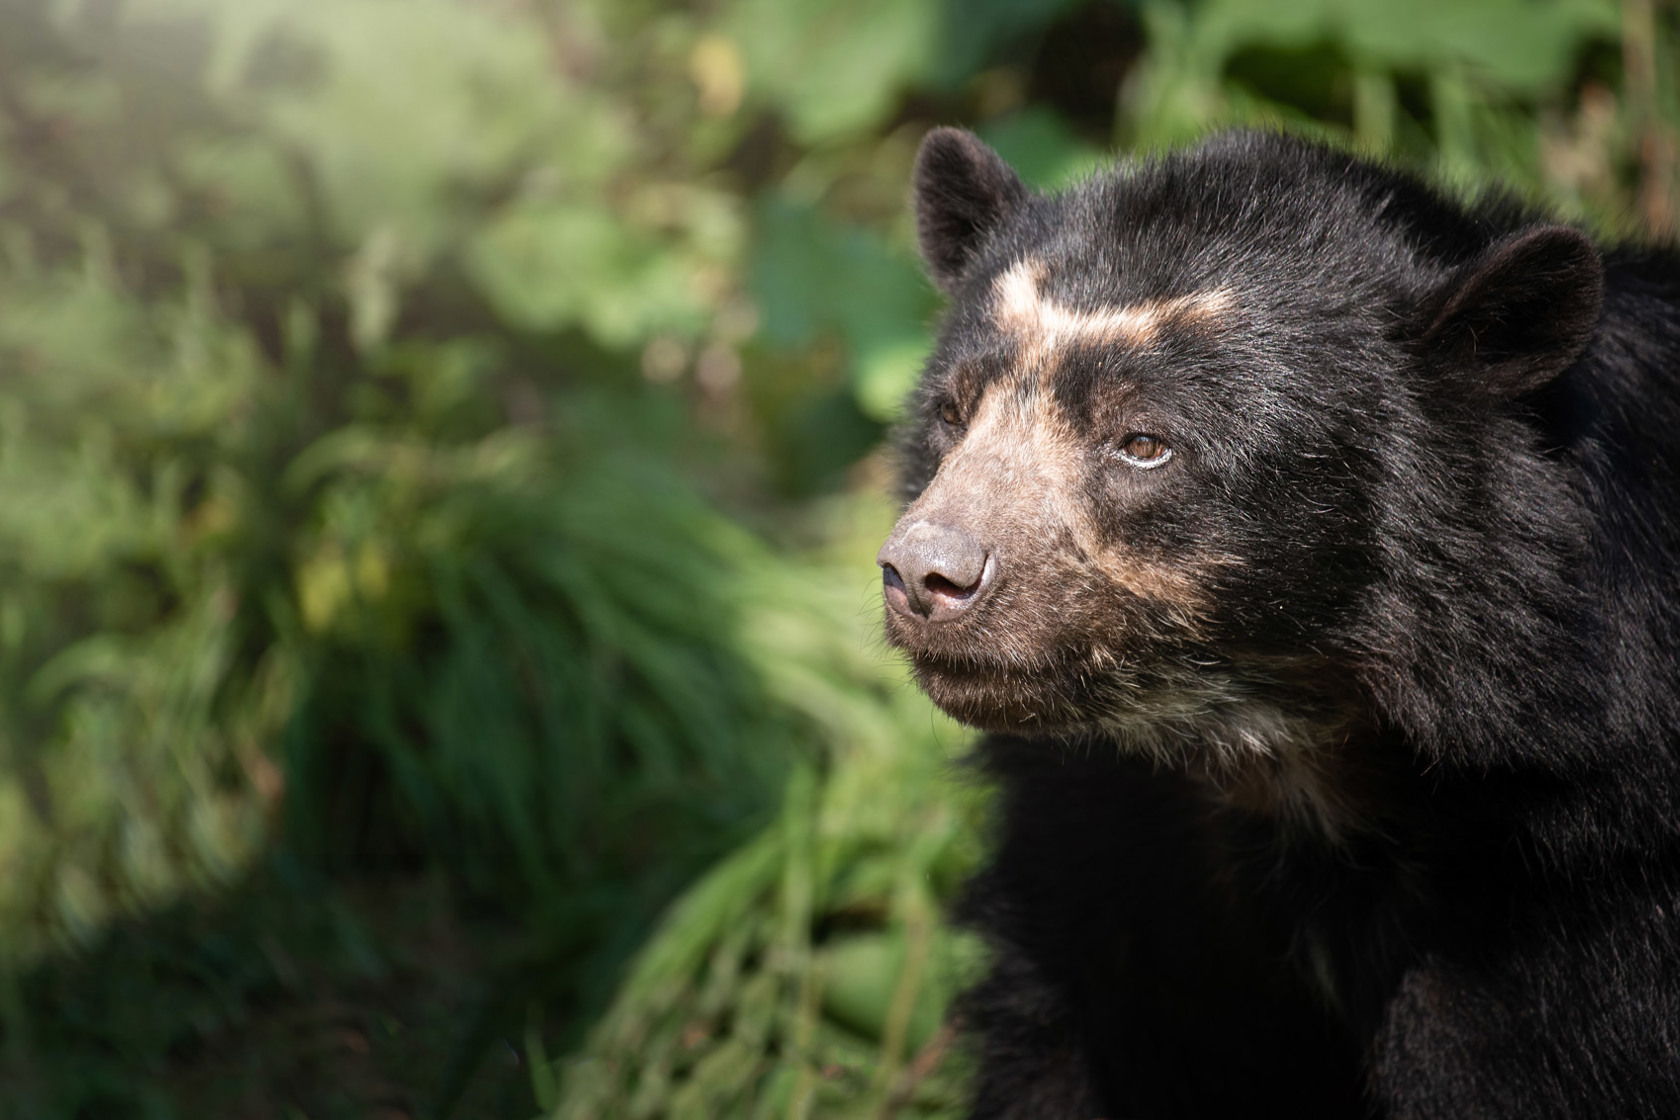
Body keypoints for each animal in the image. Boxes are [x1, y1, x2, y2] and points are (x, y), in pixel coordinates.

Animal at [877, 127, 1680, 1119]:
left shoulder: (1566, 893)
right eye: (953, 414)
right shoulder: (1112, 865)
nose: (923, 573)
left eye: (1145, 443)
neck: (1284, 762)